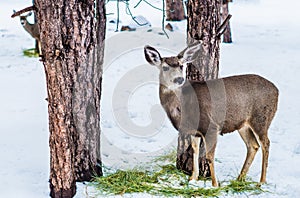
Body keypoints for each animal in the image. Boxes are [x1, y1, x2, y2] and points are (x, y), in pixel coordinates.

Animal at [144, 43, 278, 187]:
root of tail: (277, 90)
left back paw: (261, 181)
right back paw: (239, 179)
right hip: (243, 124)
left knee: (265, 143)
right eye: (165, 67)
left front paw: (215, 184)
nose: (179, 79)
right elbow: (195, 150)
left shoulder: (211, 125)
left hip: (261, 118)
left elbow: (209, 156)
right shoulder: (195, 131)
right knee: (253, 145)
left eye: (181, 66)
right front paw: (192, 179)